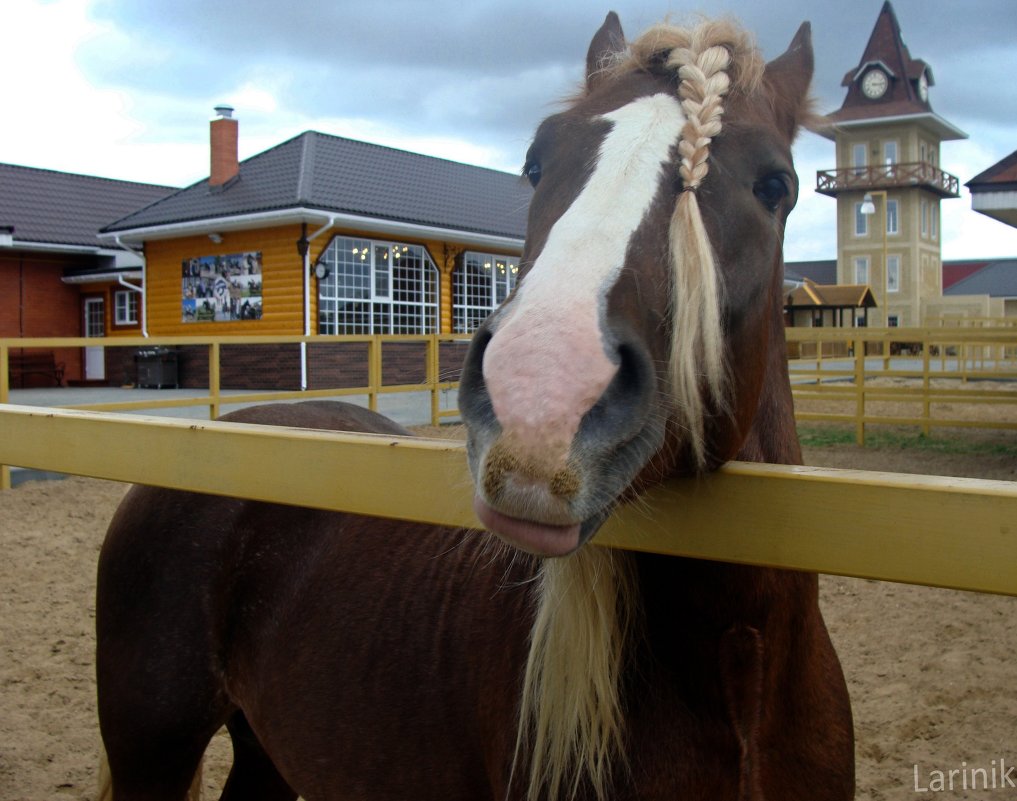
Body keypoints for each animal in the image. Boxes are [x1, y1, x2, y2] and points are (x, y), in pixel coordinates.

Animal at [97, 12, 850, 801]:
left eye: (776, 184)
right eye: (535, 162)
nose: (540, 394)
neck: (739, 682)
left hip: (266, 748)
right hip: (152, 751)